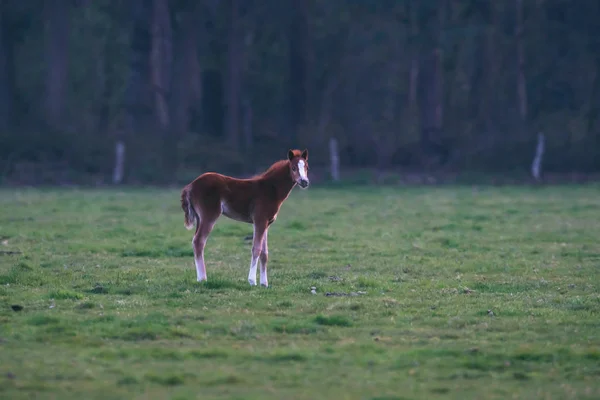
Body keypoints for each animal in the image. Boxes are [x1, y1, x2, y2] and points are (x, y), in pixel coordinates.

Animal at [179, 148, 310, 286]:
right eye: (293, 167)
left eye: (306, 166)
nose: (304, 182)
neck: (271, 189)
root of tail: (190, 186)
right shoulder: (259, 220)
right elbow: (256, 249)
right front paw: (252, 281)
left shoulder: (266, 223)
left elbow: (264, 253)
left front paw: (264, 284)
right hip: (209, 216)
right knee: (199, 241)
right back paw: (202, 279)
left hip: (200, 218)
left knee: (196, 241)